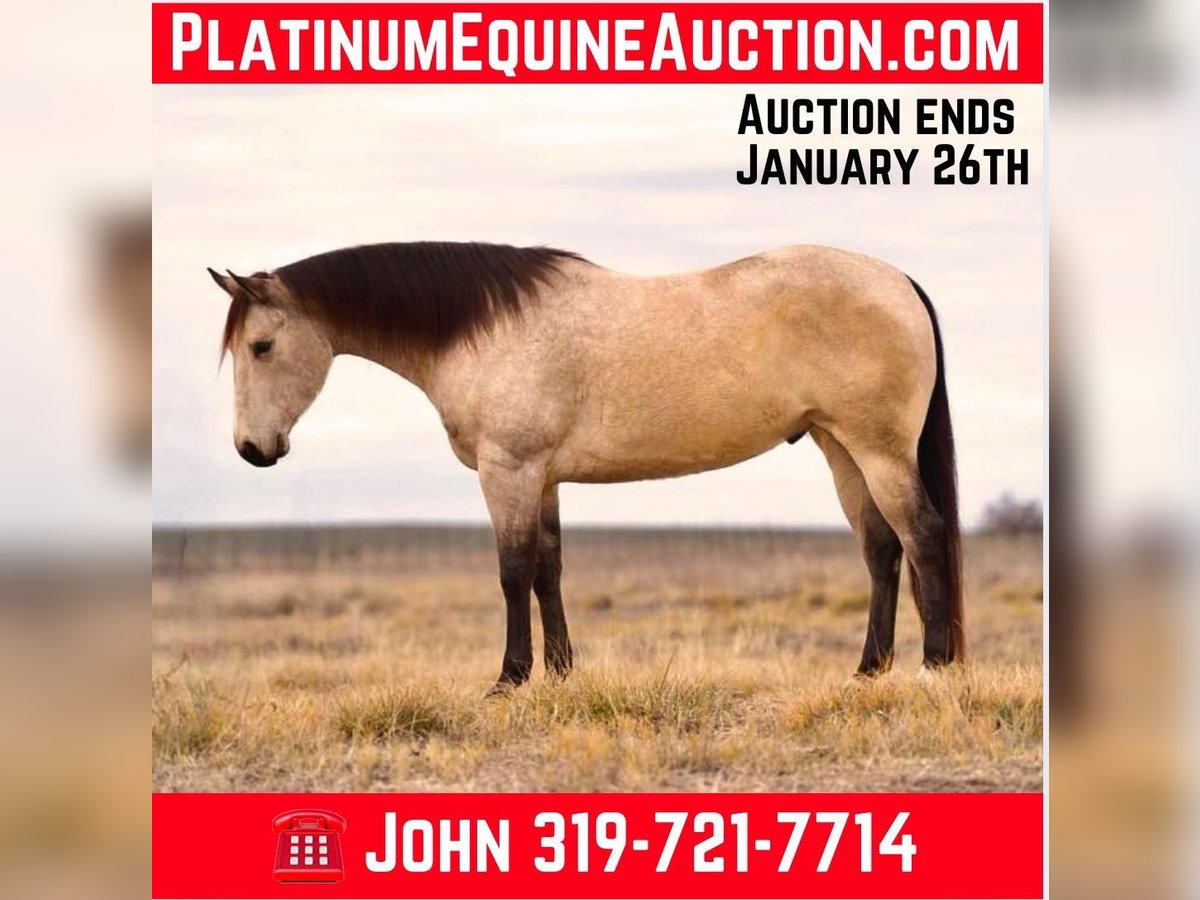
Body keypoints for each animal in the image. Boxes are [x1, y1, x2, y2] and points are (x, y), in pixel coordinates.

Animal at [208, 241, 963, 695]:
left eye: (262, 346)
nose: (252, 448)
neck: (484, 330)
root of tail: (898, 281)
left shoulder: (508, 471)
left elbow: (513, 572)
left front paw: (510, 678)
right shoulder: (541, 477)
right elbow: (549, 569)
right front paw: (562, 672)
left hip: (878, 449)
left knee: (923, 535)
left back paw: (934, 666)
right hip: (841, 448)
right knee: (882, 549)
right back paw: (868, 670)